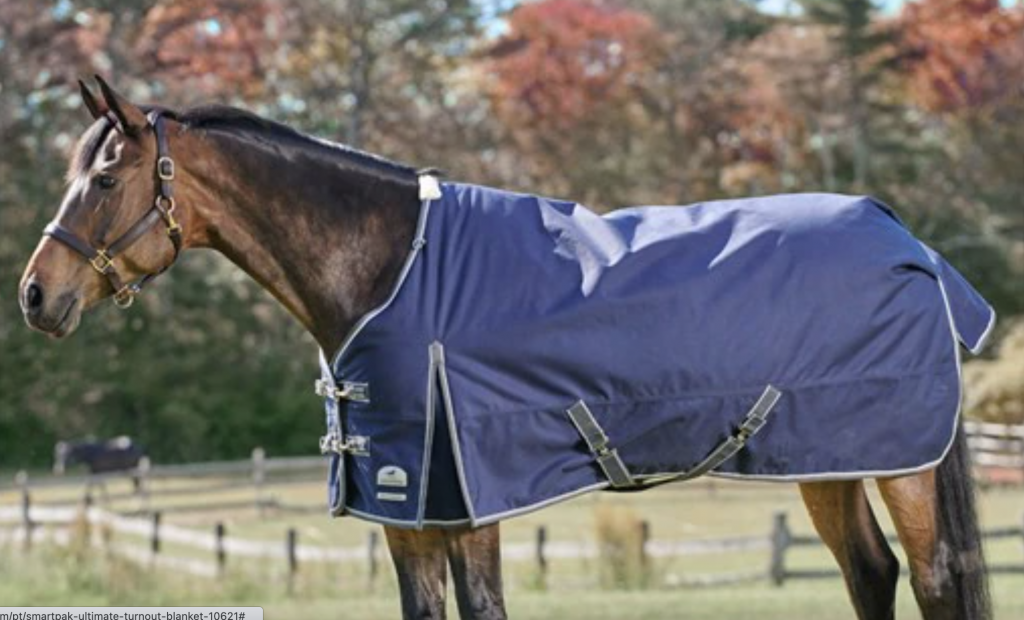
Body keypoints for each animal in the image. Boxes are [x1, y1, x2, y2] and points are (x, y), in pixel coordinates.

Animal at [18, 77, 991, 620]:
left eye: (103, 178)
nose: (35, 295)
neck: (390, 269)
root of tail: (900, 234)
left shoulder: (467, 495)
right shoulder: (406, 510)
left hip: (902, 462)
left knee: (936, 580)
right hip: (830, 458)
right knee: (870, 574)